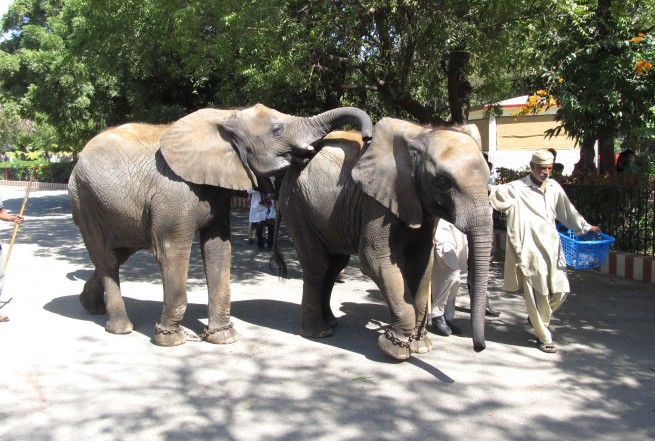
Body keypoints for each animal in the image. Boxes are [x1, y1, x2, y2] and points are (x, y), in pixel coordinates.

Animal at [69, 103, 374, 344]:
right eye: (276, 130)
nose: (367, 137)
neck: (227, 117)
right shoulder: (172, 190)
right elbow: (171, 251)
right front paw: (172, 340)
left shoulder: (216, 190)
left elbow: (218, 248)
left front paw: (223, 338)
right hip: (84, 200)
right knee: (108, 259)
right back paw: (120, 328)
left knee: (118, 254)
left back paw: (90, 307)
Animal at [274, 118, 494, 360]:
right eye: (444, 182)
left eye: (489, 183)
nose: (479, 348)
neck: (422, 135)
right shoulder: (378, 204)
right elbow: (375, 260)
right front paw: (395, 350)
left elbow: (421, 263)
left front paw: (421, 346)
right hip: (296, 206)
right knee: (318, 266)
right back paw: (318, 332)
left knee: (335, 265)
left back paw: (331, 323)